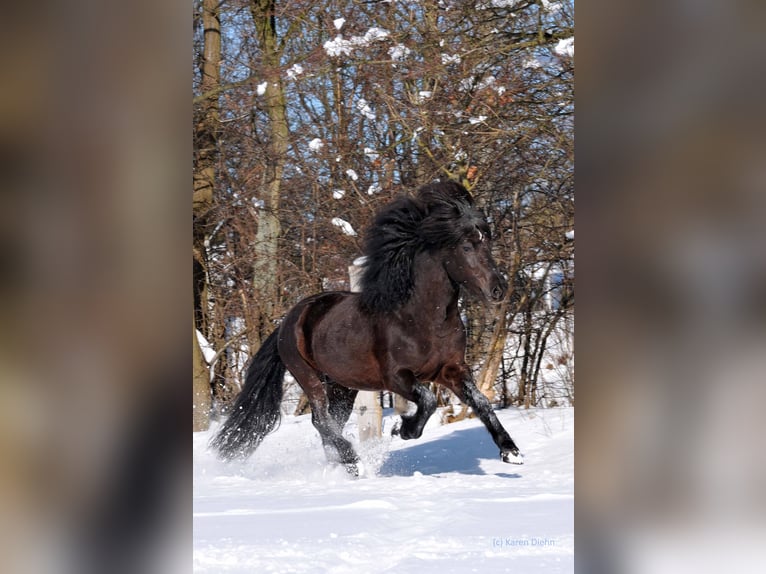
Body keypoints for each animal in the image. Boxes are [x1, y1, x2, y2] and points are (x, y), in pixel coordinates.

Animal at [213, 181, 524, 476]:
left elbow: (481, 402)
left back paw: (342, 466)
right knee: (322, 420)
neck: (425, 320)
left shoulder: (452, 370)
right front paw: (402, 429)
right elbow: (427, 400)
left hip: (343, 386)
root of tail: (287, 321)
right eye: (467, 246)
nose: (498, 290)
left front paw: (511, 452)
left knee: (328, 425)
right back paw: (353, 462)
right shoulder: (396, 377)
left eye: (488, 244)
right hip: (309, 377)